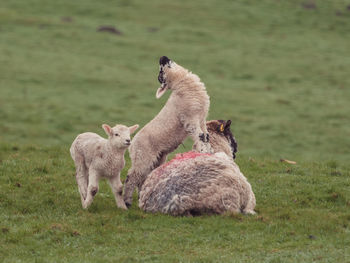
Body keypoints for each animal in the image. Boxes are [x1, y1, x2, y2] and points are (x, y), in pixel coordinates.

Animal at [124, 55, 212, 208]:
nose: (162, 57)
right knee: (132, 176)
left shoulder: (202, 119)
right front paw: (204, 153)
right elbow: (200, 137)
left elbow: (206, 137)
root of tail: (132, 144)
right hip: (143, 157)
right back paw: (127, 202)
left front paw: (210, 152)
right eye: (161, 73)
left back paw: (143, 197)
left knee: (143, 178)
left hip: (157, 158)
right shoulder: (191, 119)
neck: (183, 83)